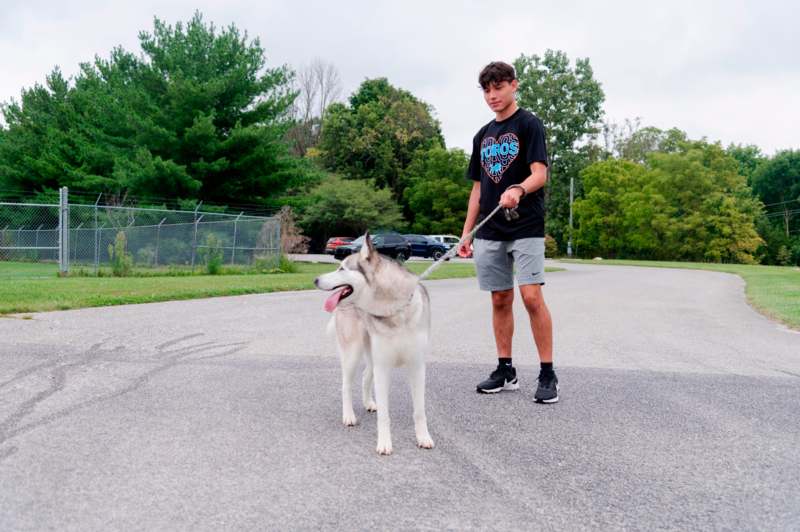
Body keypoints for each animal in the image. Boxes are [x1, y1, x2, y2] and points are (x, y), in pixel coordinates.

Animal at [316, 231, 434, 456]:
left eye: (342, 268)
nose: (315, 279)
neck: (394, 310)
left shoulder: (417, 367)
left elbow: (420, 411)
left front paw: (423, 438)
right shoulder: (383, 367)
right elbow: (385, 416)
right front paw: (385, 443)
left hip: (371, 357)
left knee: (365, 377)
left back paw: (369, 403)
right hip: (353, 354)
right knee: (346, 385)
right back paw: (349, 416)